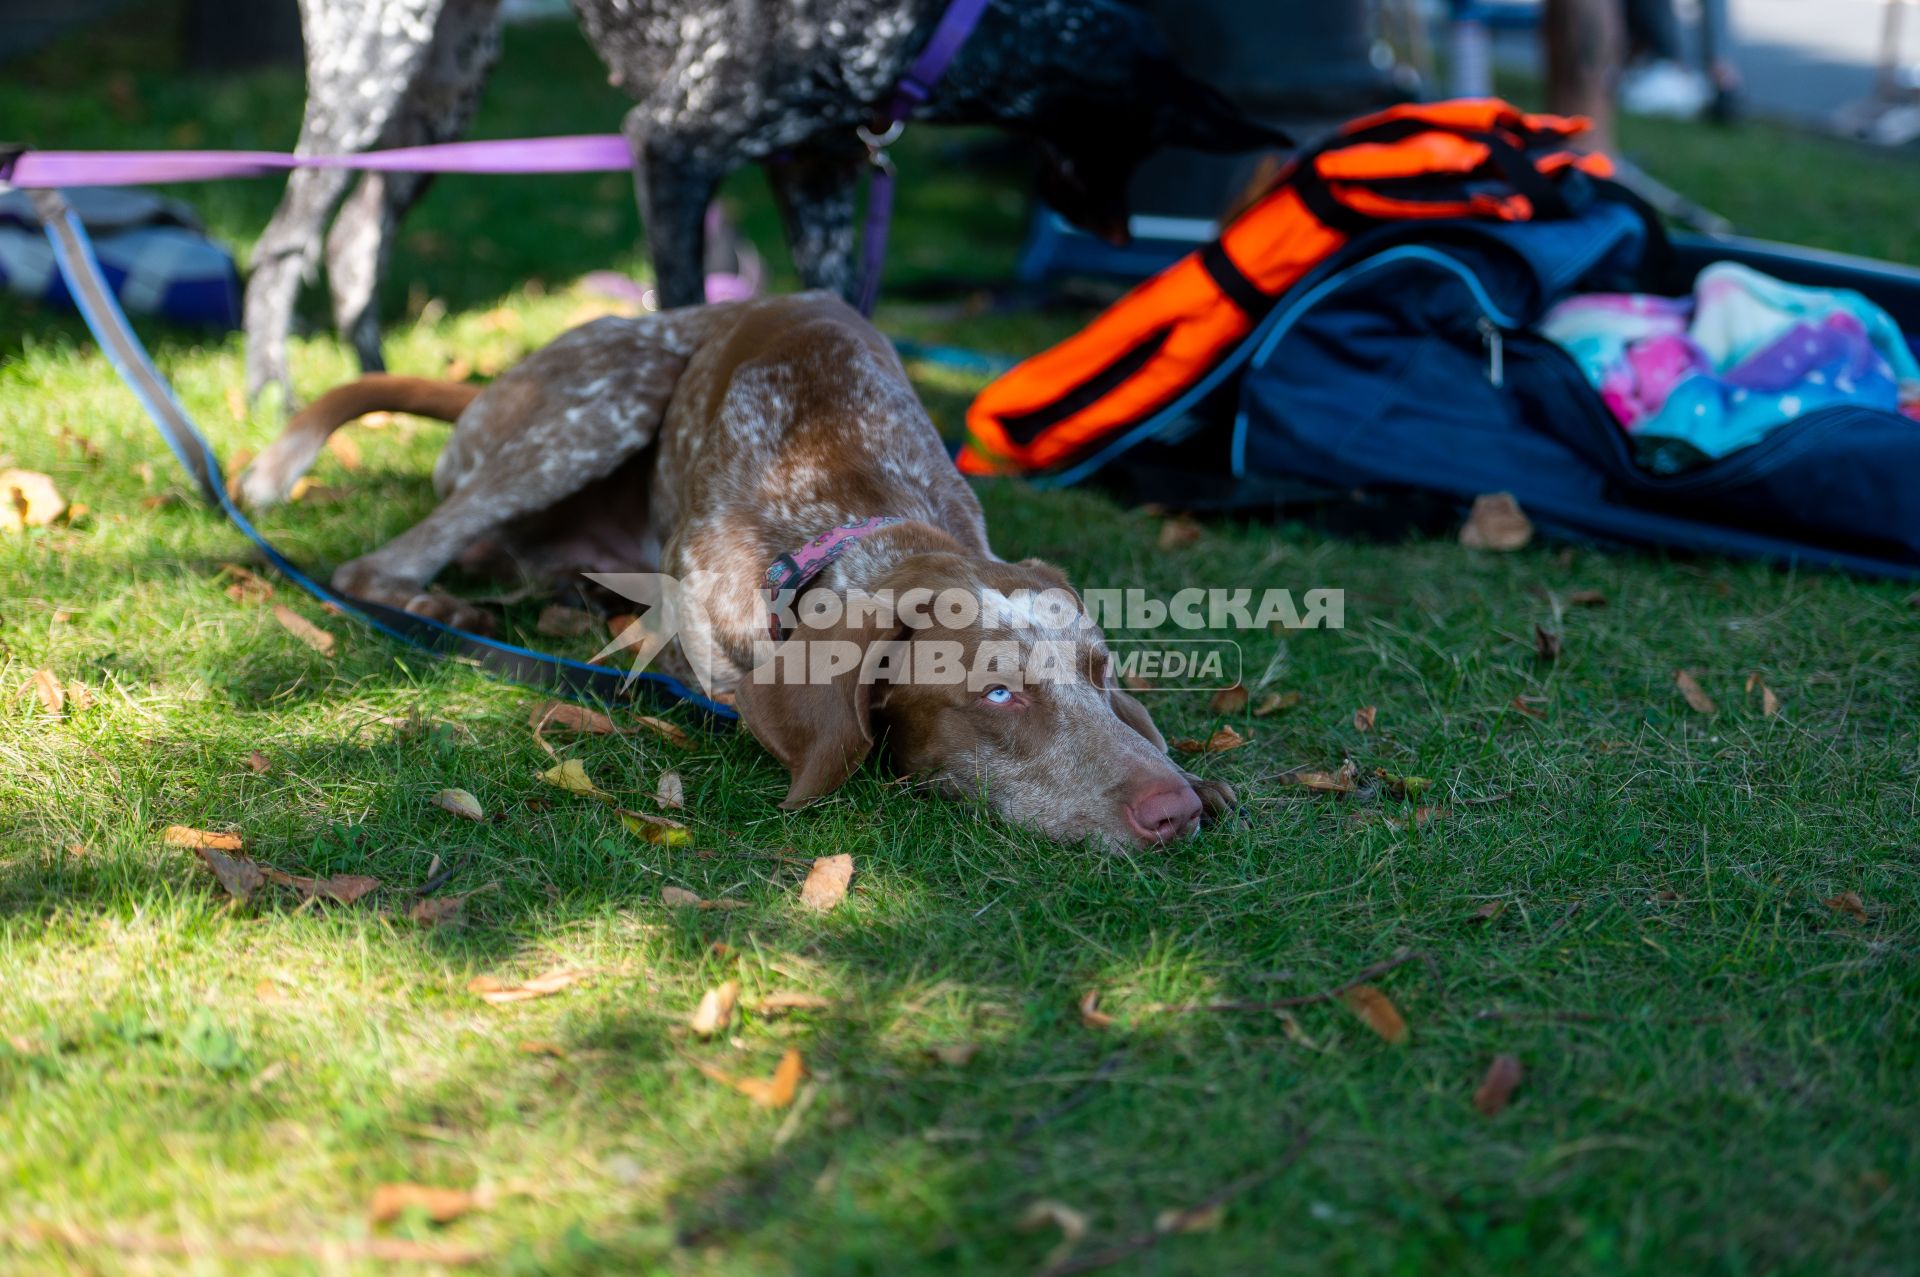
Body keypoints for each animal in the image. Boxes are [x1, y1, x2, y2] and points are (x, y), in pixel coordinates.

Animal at [240, 291, 1236, 844]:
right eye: (996, 695)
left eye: (1099, 673)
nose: (1172, 812)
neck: (848, 513)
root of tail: (491, 386)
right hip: (600, 404)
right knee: (382, 560)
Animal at [243, 0, 1290, 403]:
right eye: (1142, 147)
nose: (1117, 228)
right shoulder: (671, 145)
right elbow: (676, 315)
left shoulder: (817, 174)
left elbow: (848, 323)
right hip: (371, 70)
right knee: (283, 244)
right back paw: (268, 391)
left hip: (443, 88)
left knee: (355, 241)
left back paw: (372, 387)